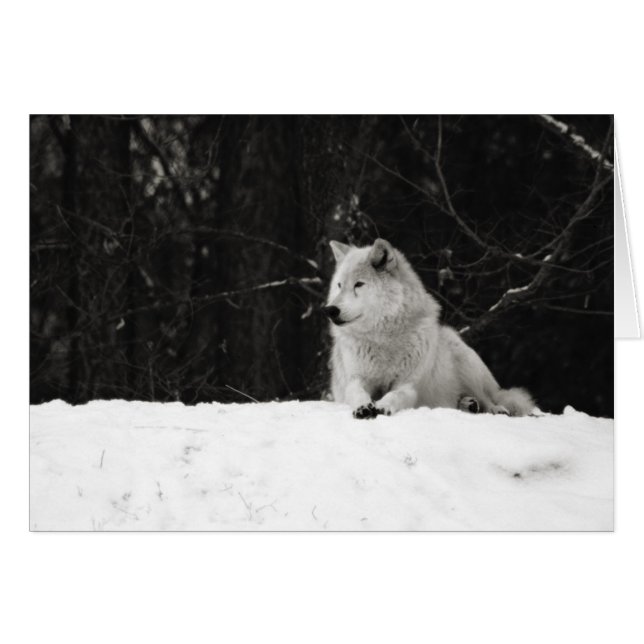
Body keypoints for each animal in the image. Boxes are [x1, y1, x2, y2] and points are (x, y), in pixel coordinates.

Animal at [323, 238, 534, 419]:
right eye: (339, 285)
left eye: (359, 284)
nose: (330, 310)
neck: (383, 339)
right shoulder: (355, 379)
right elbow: (356, 392)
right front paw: (363, 407)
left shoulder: (408, 384)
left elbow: (395, 395)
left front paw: (382, 406)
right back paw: (468, 404)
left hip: (466, 363)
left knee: (488, 398)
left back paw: (494, 409)